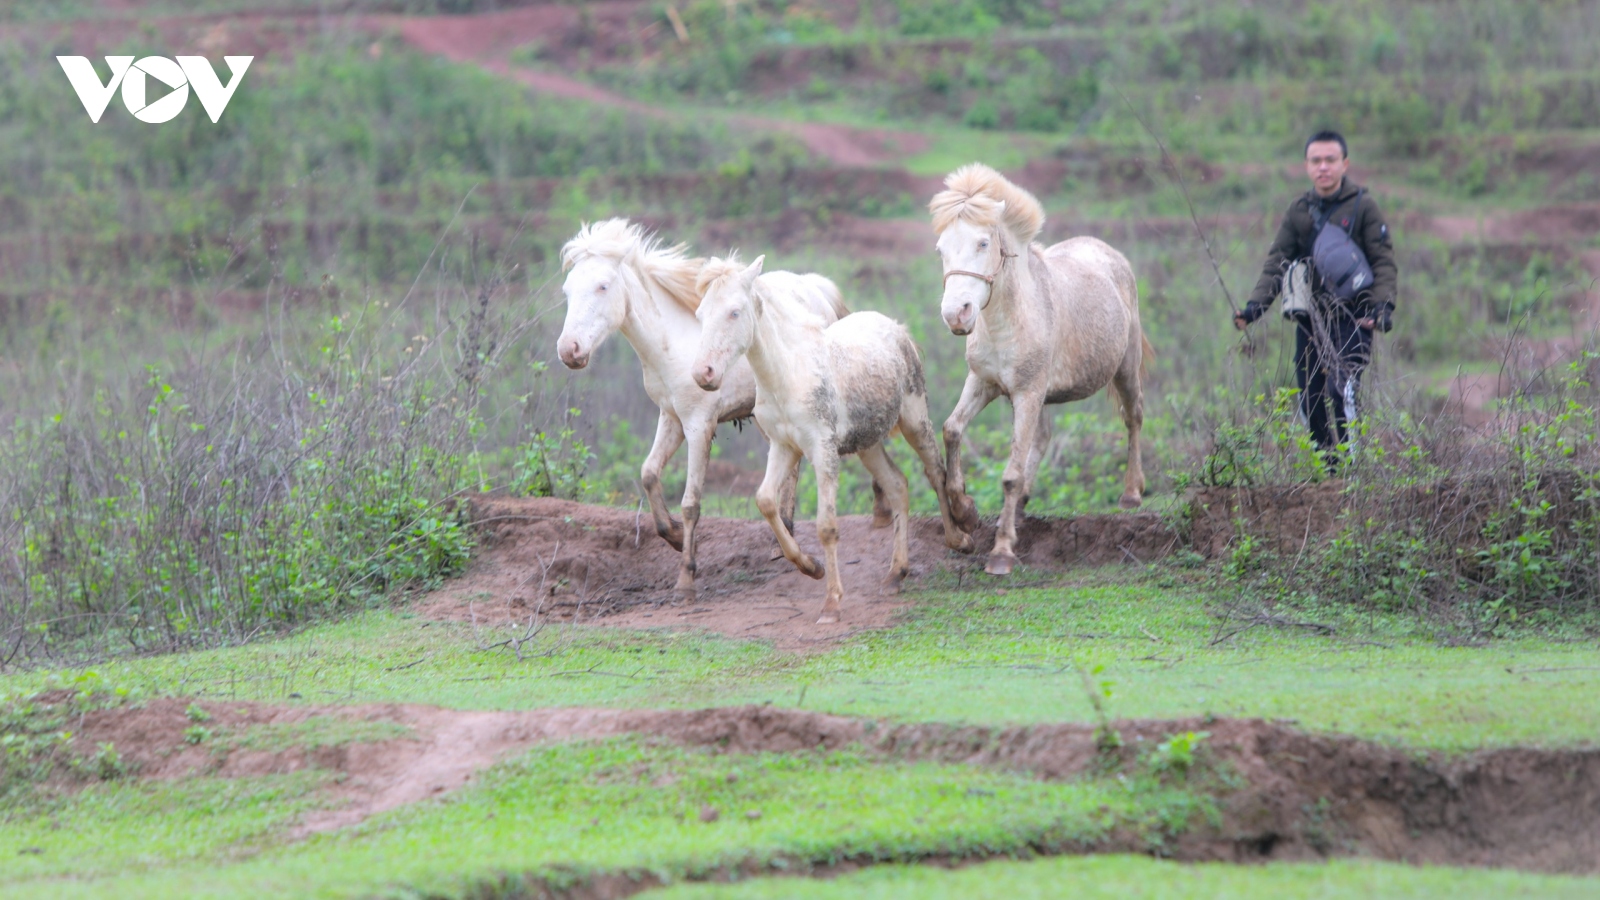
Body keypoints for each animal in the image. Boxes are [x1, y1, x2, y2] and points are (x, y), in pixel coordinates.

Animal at [560, 217, 889, 595]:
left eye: (602, 286)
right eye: (567, 290)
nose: (568, 350)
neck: (672, 342)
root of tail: (815, 286)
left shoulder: (699, 425)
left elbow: (691, 502)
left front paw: (686, 575)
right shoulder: (671, 418)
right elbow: (649, 473)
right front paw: (673, 536)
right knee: (791, 470)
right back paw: (784, 539)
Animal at [691, 254, 972, 624]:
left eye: (734, 312)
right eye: (700, 314)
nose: (703, 374)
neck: (788, 374)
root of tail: (898, 328)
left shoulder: (822, 450)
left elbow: (826, 526)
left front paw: (832, 604)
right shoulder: (784, 446)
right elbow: (766, 501)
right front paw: (811, 567)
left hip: (914, 420)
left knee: (935, 472)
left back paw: (959, 540)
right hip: (868, 444)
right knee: (897, 485)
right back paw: (895, 574)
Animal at [928, 161, 1152, 573]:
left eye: (983, 243)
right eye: (941, 249)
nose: (956, 314)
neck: (1009, 322)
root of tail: (1110, 254)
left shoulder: (1027, 393)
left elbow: (1011, 475)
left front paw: (1001, 552)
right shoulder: (984, 383)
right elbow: (952, 430)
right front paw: (965, 511)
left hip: (1125, 369)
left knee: (1134, 417)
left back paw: (1131, 492)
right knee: (1043, 438)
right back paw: (1018, 509)